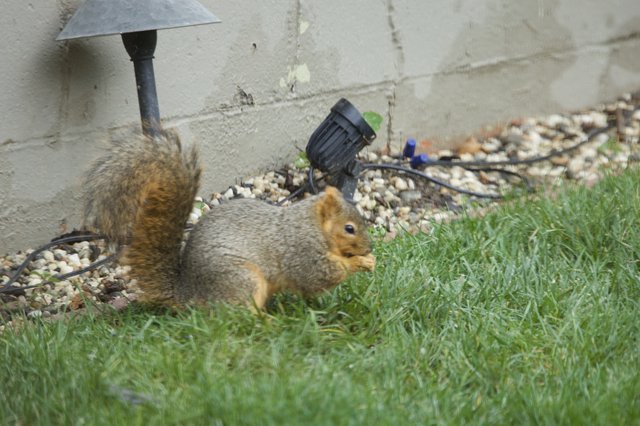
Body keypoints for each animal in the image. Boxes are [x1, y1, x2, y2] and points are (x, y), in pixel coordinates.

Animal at [83, 130, 376, 309]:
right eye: (349, 228)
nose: (369, 247)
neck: (312, 225)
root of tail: (189, 294)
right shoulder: (302, 251)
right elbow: (321, 275)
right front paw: (359, 262)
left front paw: (368, 259)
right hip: (242, 280)